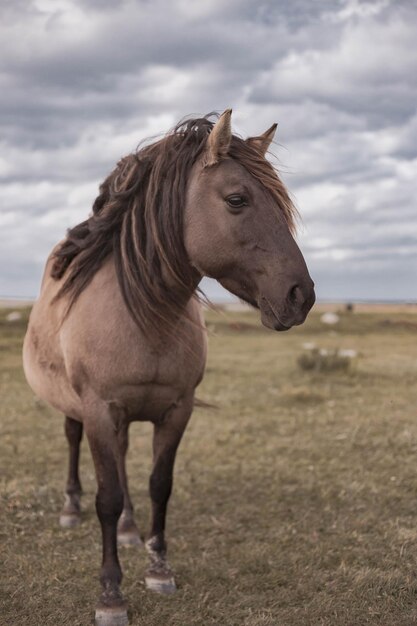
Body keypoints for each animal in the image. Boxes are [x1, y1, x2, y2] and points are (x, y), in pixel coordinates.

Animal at [22, 109, 314, 620]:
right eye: (237, 199)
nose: (302, 295)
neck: (146, 315)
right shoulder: (98, 410)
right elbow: (106, 496)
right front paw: (111, 593)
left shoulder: (177, 410)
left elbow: (159, 485)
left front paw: (158, 568)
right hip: (76, 409)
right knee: (74, 442)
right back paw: (71, 508)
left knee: (122, 460)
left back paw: (129, 528)